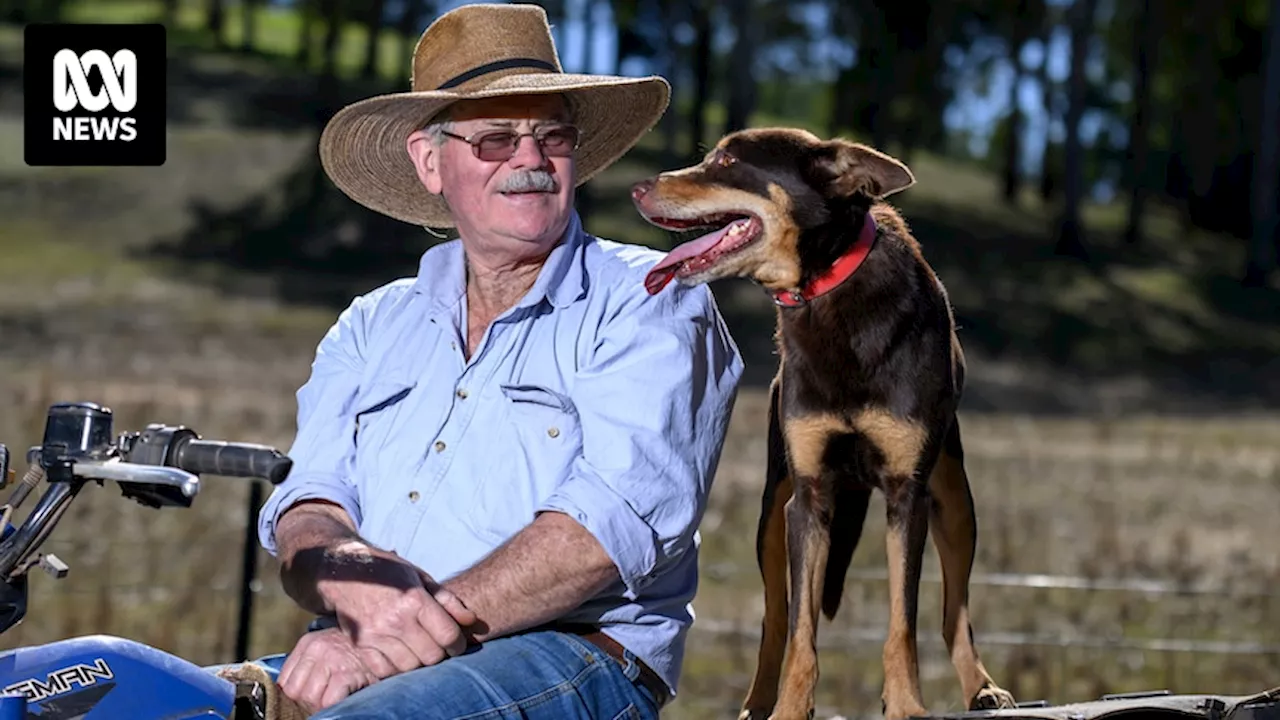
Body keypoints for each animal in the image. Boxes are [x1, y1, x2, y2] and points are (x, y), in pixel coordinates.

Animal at [632, 128, 1018, 717]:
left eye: (726, 160)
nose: (637, 188)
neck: (829, 287)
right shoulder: (808, 496)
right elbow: (800, 630)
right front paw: (791, 707)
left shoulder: (907, 494)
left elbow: (903, 622)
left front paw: (905, 704)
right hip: (773, 513)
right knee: (775, 617)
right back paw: (758, 702)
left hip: (955, 502)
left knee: (955, 610)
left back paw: (981, 686)